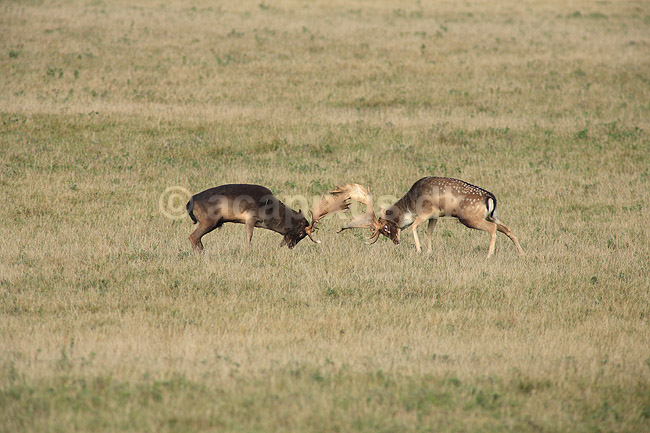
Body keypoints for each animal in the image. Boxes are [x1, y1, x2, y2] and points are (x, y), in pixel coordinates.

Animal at [186, 184, 350, 252]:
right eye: (301, 233)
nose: (290, 246)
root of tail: (190, 203)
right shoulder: (250, 216)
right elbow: (249, 236)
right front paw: (248, 252)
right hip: (209, 220)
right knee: (193, 237)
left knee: (196, 238)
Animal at [331, 177, 524, 258]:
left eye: (385, 228)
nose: (396, 241)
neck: (411, 204)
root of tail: (491, 198)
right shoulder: (434, 217)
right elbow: (430, 232)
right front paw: (429, 251)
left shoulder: (426, 212)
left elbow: (414, 226)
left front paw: (419, 249)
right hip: (492, 216)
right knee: (508, 228)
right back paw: (522, 253)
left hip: (470, 218)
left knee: (493, 229)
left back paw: (489, 254)